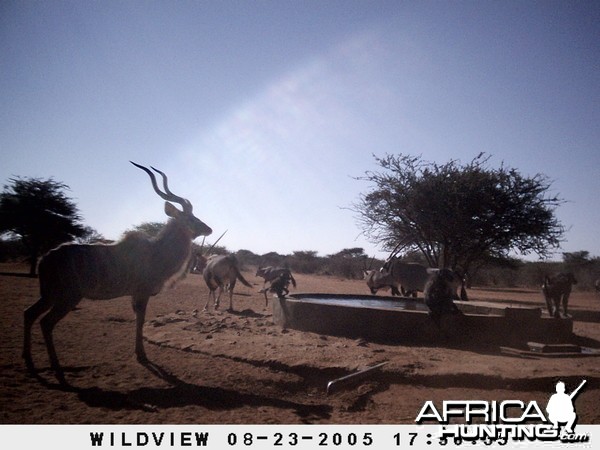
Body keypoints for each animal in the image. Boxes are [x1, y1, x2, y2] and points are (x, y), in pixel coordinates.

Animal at [22, 162, 212, 384]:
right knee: (46, 322)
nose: (209, 229)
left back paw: (29, 361)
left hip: (50, 295)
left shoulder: (134, 296)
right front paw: (142, 356)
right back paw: (58, 370)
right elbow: (140, 320)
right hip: (67, 297)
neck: (156, 252)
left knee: (29, 313)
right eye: (191, 217)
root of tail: (44, 259)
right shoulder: (141, 293)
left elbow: (138, 319)